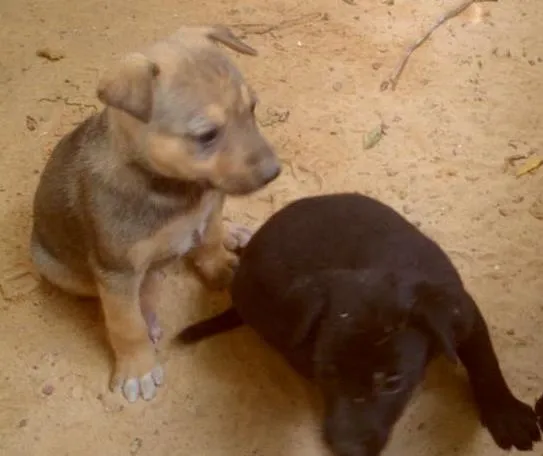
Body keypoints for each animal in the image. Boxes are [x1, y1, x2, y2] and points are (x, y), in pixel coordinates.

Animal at [30, 25, 280, 402]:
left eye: (252, 108)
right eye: (207, 135)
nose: (273, 173)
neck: (175, 188)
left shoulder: (210, 209)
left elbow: (209, 241)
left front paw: (221, 265)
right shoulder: (116, 270)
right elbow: (125, 324)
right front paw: (138, 367)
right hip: (57, 267)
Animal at [178, 193, 540, 456]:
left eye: (393, 382)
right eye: (327, 374)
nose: (347, 449)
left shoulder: (463, 312)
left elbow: (484, 361)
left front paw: (505, 413)